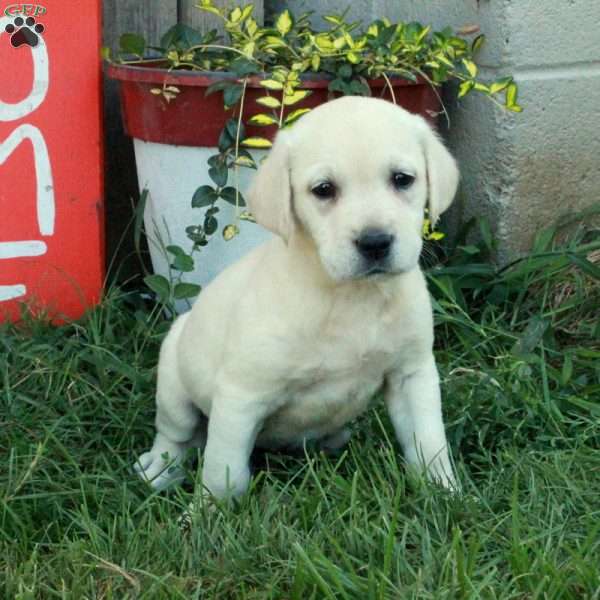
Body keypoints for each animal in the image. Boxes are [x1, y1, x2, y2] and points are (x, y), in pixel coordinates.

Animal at [136, 95, 460, 496]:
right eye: (323, 189)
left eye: (402, 179)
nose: (375, 242)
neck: (352, 297)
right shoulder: (242, 395)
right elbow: (224, 470)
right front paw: (207, 510)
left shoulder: (411, 374)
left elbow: (428, 442)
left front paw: (444, 493)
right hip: (174, 386)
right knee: (176, 437)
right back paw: (160, 469)